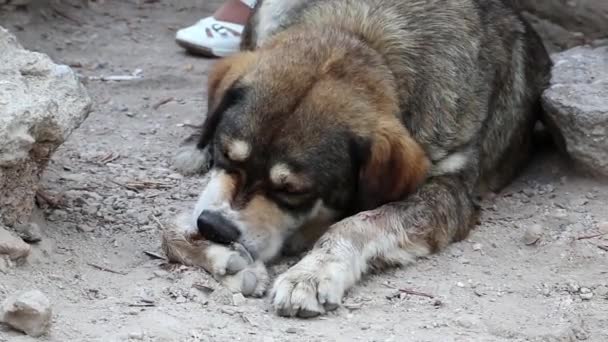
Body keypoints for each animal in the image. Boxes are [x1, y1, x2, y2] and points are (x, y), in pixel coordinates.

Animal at [169, 0, 552, 316]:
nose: (215, 228)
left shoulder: (449, 192)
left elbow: (359, 223)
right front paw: (220, 256)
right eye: (226, 153)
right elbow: (170, 229)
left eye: (292, 190)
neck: (365, 34)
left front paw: (312, 272)